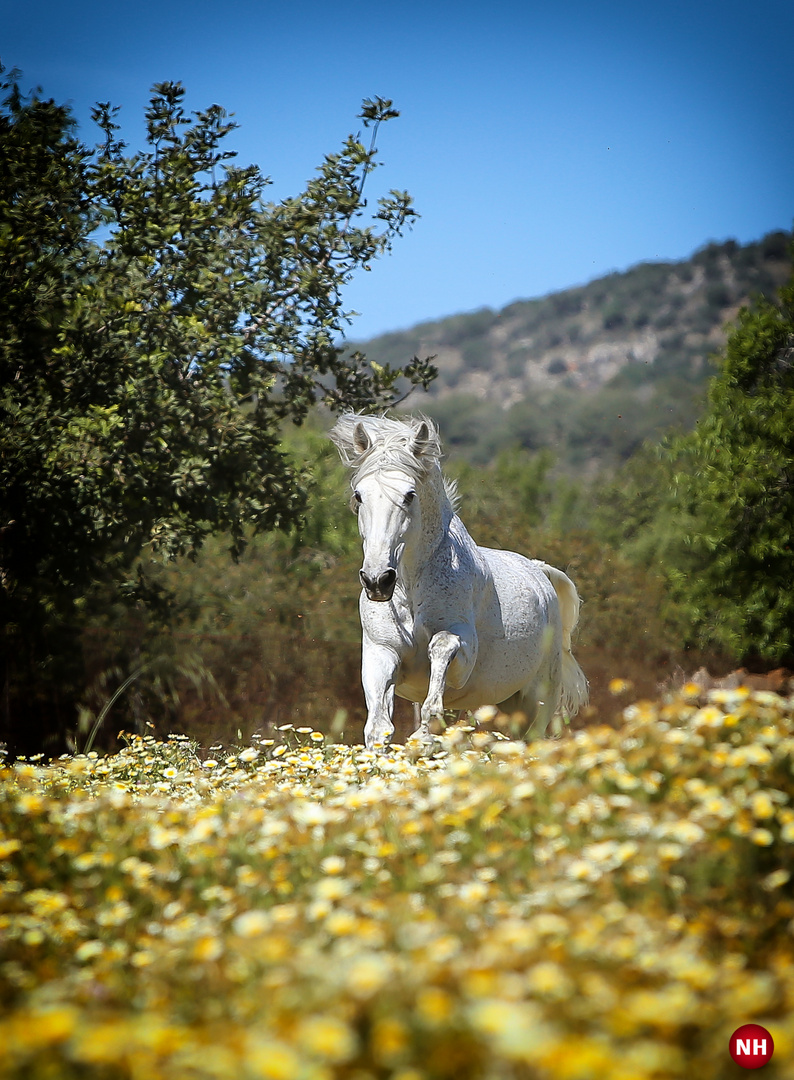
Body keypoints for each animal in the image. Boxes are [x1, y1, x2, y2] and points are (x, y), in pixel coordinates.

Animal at [328, 412, 591, 751]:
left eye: (409, 495)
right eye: (359, 495)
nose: (377, 580)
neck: (411, 590)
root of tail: (539, 572)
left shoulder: (461, 656)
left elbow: (440, 653)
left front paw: (425, 735)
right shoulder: (381, 652)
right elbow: (378, 726)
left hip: (537, 701)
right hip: (507, 704)